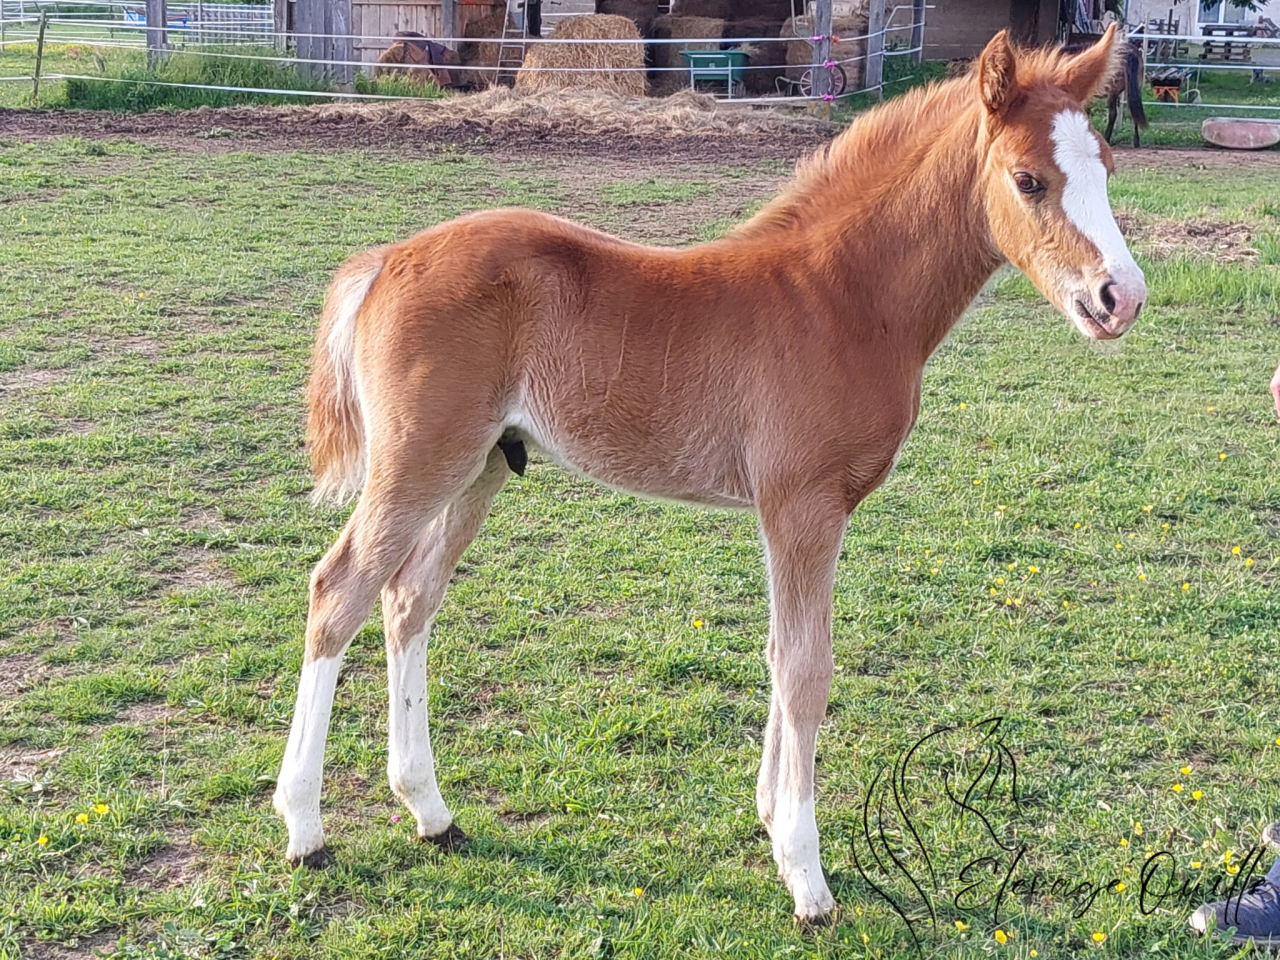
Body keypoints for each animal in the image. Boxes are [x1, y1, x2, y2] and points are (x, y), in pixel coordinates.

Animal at [272, 25, 1146, 925]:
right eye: (1028, 179)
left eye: (1108, 165)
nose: (1121, 297)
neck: (843, 299)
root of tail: (387, 259)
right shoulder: (803, 505)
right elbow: (806, 667)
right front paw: (806, 873)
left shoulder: (791, 512)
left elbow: (777, 652)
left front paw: (768, 820)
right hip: (420, 461)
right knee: (338, 592)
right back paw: (305, 828)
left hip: (480, 467)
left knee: (409, 600)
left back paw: (430, 811)